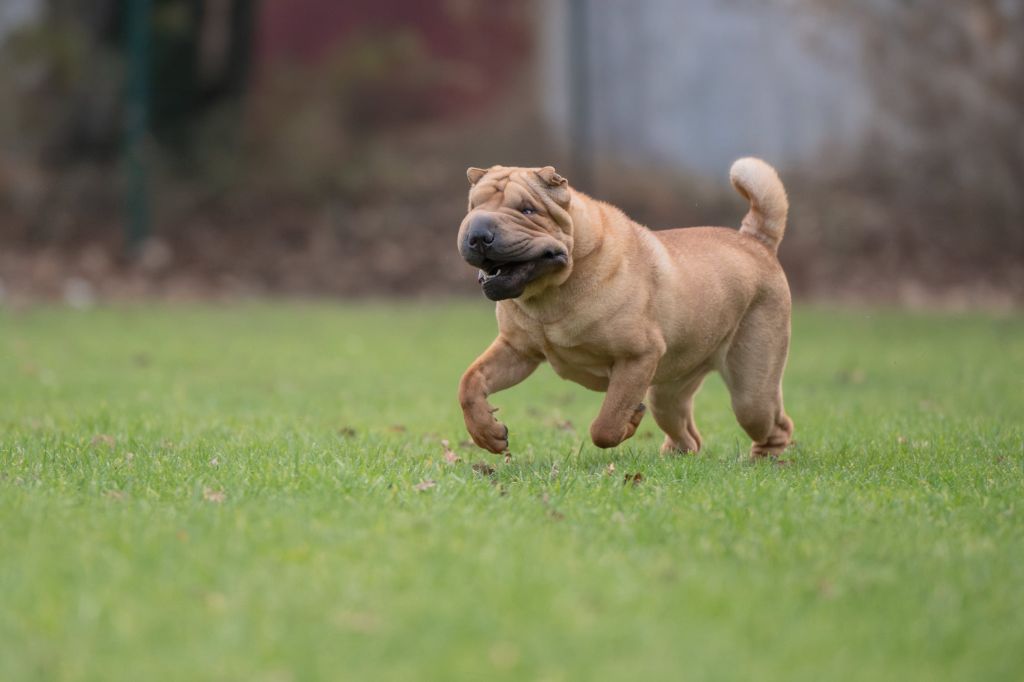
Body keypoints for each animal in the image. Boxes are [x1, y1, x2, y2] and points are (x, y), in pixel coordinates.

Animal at [457, 158, 793, 458]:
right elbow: (470, 382)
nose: (478, 234)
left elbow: (606, 423)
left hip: (752, 388)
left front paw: (629, 421)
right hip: (669, 391)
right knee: (685, 430)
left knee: (773, 422)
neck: (553, 293)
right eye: (474, 207)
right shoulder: (517, 350)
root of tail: (757, 241)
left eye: (527, 210)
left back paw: (767, 458)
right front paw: (486, 433)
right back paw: (676, 455)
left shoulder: (637, 357)